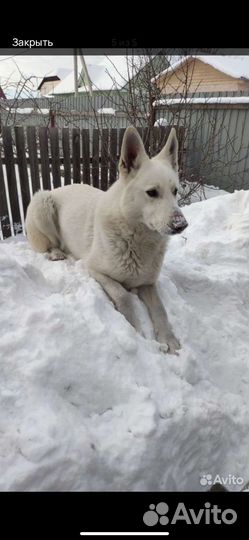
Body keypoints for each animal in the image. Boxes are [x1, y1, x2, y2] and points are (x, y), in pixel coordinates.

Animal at [25, 126, 189, 354]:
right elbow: (123, 296)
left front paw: (168, 338)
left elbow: (160, 308)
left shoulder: (148, 283)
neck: (137, 238)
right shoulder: (94, 270)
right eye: (152, 192)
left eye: (175, 191)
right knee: (48, 245)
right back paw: (57, 253)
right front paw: (135, 330)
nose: (181, 224)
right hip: (43, 205)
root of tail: (58, 188)